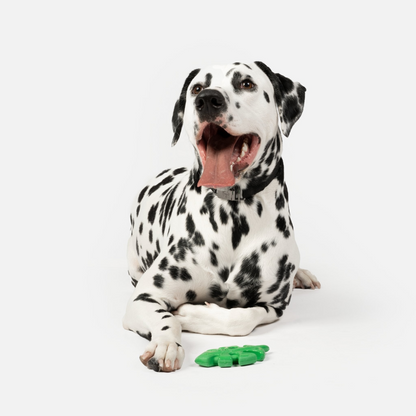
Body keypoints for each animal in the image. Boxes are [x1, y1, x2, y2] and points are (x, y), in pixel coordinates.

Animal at [122, 61, 320, 374]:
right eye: (197, 88)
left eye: (247, 83)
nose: (208, 100)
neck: (234, 219)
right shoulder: (144, 298)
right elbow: (165, 319)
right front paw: (166, 345)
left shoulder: (273, 305)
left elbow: (239, 319)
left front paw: (188, 314)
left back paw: (301, 274)